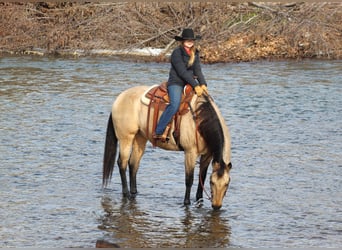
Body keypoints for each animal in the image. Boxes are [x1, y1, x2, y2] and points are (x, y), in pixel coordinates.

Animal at [103, 83, 232, 209]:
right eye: (212, 183)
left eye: (227, 183)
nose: (216, 206)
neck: (199, 118)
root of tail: (119, 99)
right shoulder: (190, 152)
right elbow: (189, 179)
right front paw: (186, 203)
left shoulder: (207, 155)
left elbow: (202, 177)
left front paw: (199, 200)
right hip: (126, 138)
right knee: (122, 163)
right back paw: (126, 193)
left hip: (140, 138)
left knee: (133, 164)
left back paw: (134, 192)